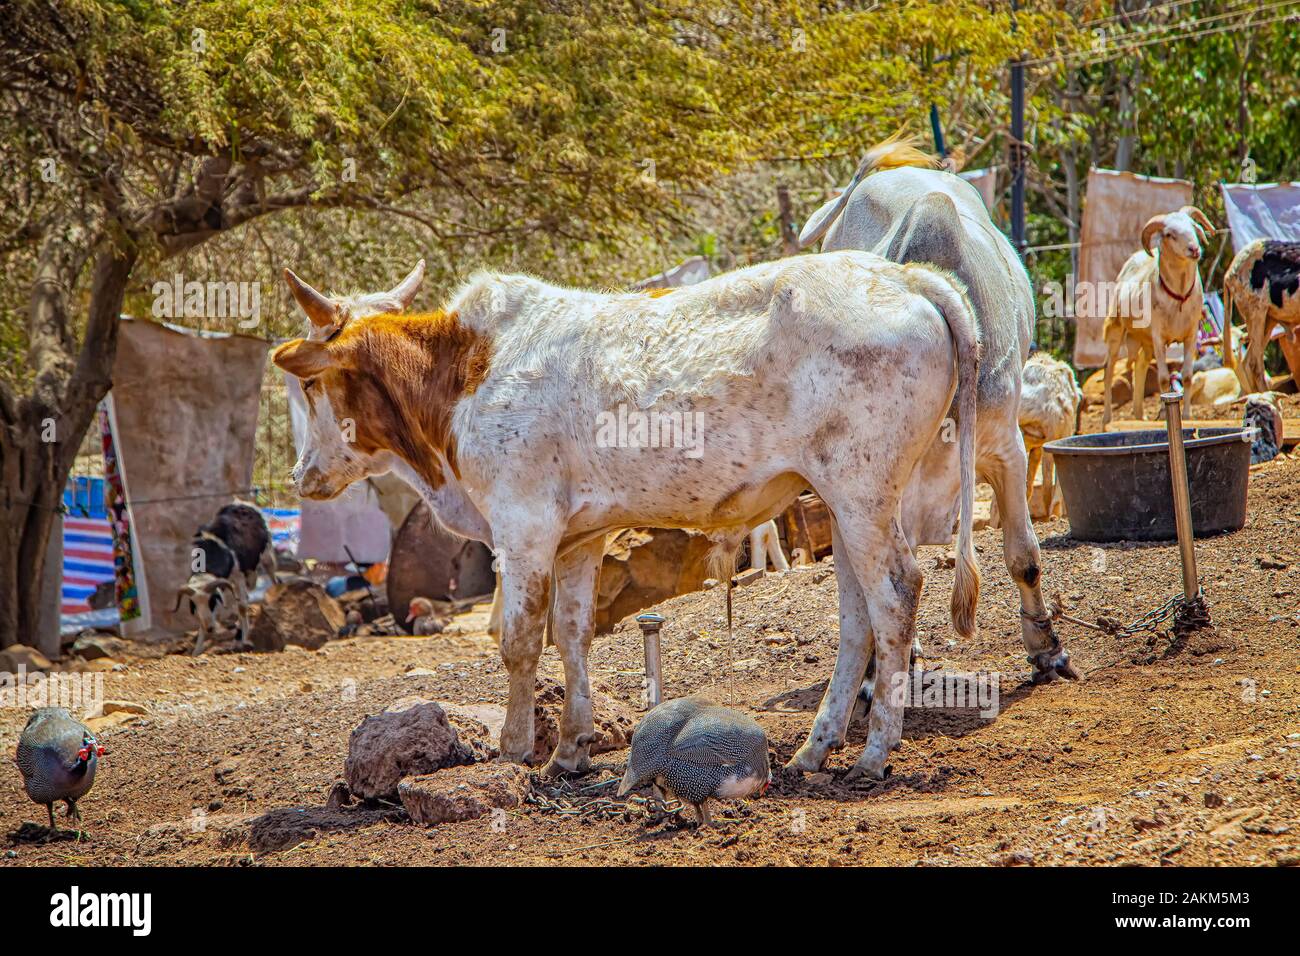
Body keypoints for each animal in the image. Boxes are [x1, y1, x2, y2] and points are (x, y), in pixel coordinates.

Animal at [276, 254, 982, 785]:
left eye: (309, 386)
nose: (300, 475)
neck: (465, 374)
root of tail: (905, 275)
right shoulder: (576, 540)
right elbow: (572, 633)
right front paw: (570, 749)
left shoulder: (523, 525)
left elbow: (520, 640)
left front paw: (514, 750)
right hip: (841, 501)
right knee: (856, 614)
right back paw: (816, 748)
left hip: (863, 490)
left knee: (895, 593)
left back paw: (874, 753)